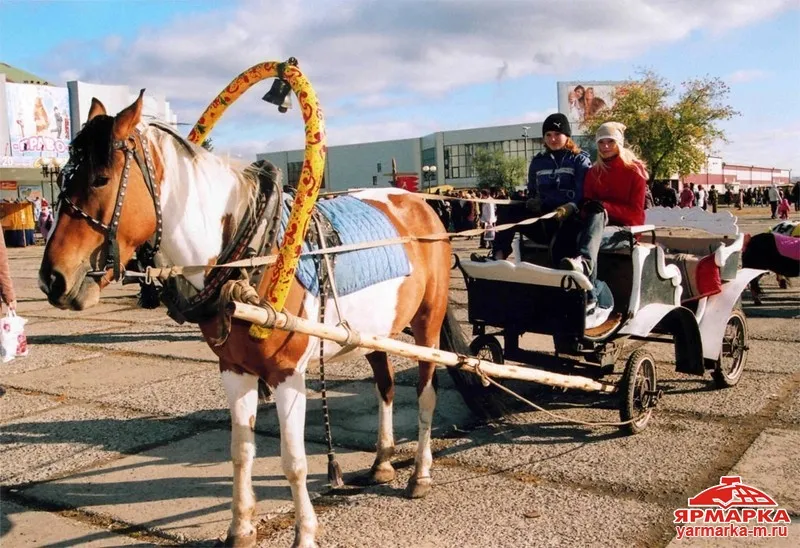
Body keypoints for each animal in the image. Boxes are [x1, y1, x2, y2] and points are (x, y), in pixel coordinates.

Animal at [37, 92, 466, 544]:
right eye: (62, 180)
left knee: (426, 392)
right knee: (385, 387)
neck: (249, 259)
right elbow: (241, 451)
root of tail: (420, 205)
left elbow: (294, 460)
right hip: (372, 333)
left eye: (101, 179)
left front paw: (305, 532)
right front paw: (240, 526)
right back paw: (383, 460)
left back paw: (420, 473)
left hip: (428, 323)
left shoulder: (287, 374)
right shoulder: (234, 369)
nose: (52, 278)